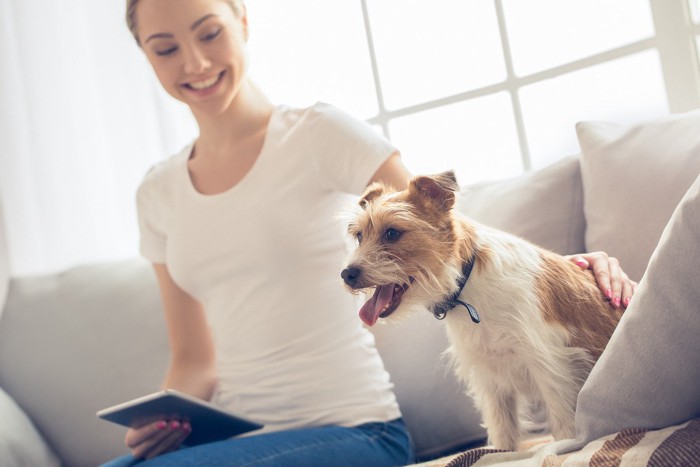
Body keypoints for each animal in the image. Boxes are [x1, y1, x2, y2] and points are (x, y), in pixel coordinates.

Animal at [342, 170, 620, 452]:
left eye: (392, 233)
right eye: (360, 236)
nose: (346, 274)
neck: (464, 284)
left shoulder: (552, 367)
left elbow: (565, 426)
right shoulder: (491, 379)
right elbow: (503, 432)